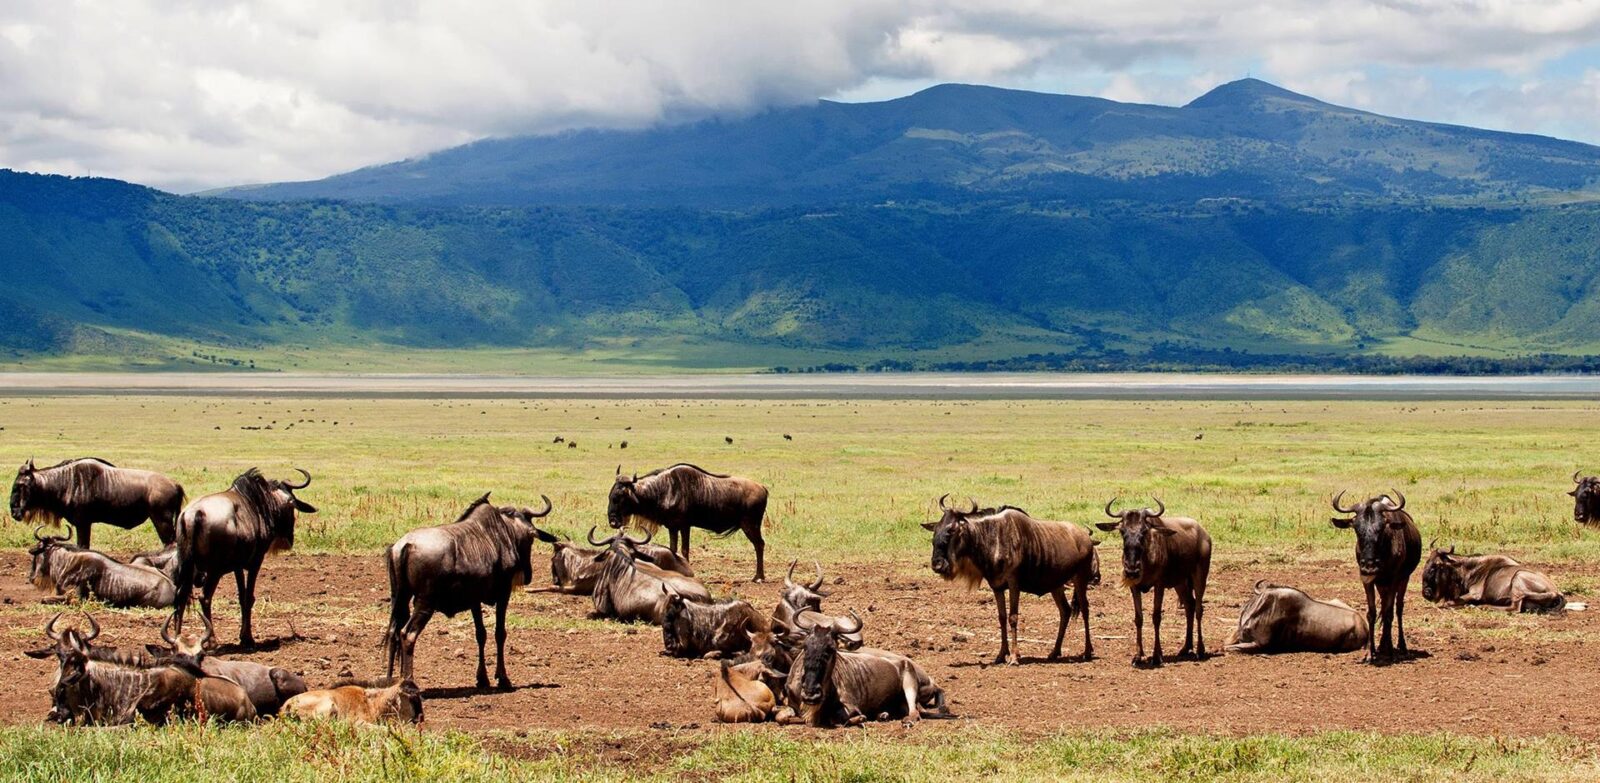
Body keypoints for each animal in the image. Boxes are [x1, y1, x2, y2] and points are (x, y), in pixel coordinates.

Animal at [1433, 547, 1568, 614]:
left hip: (1518, 577)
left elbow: (1448, 603)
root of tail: (1557, 592)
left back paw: (1484, 607)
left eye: (1437, 565)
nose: (1429, 593)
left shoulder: (1475, 594)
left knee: (1514, 608)